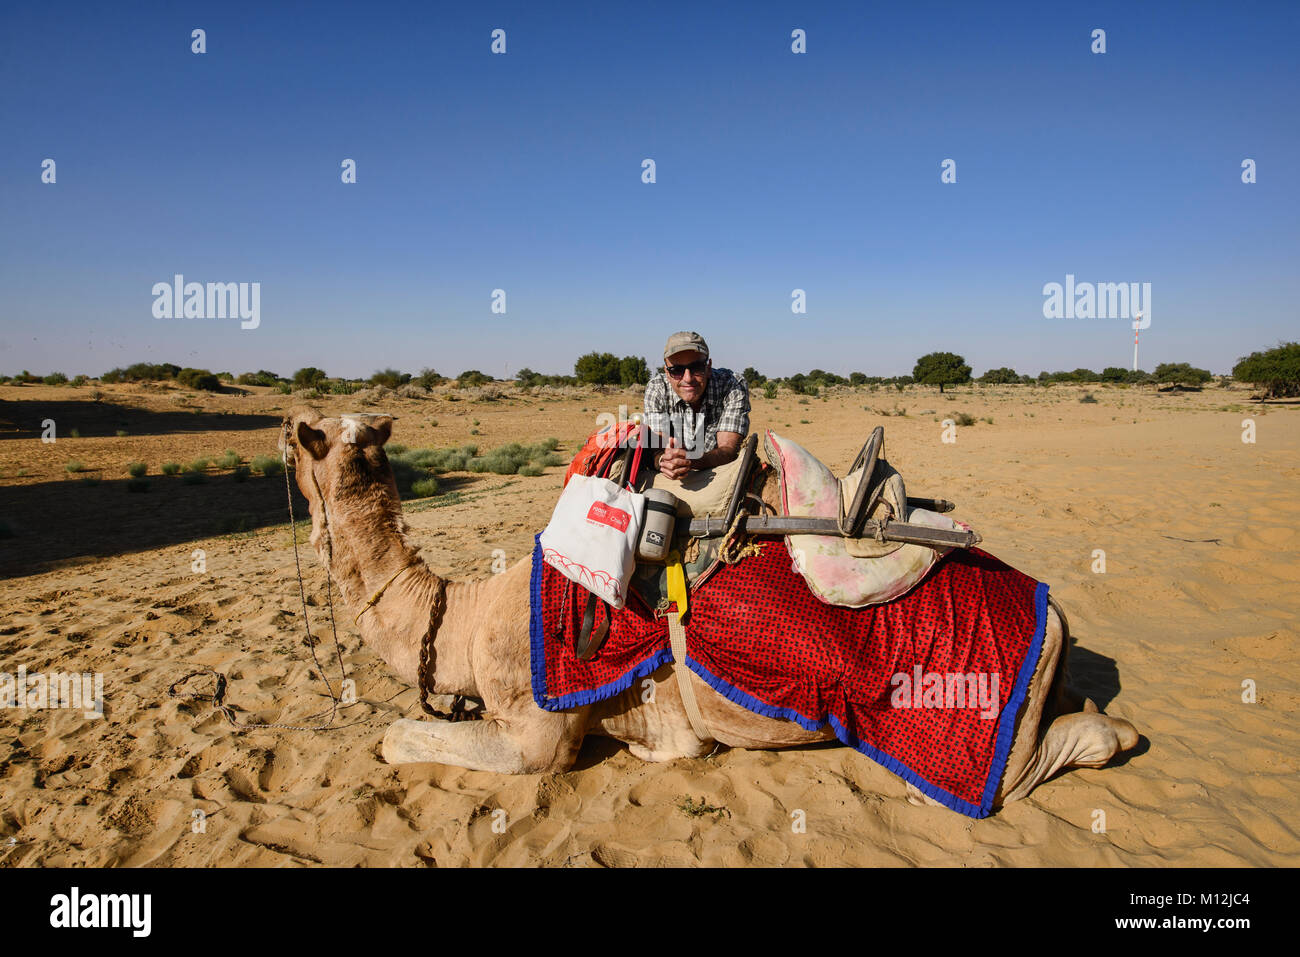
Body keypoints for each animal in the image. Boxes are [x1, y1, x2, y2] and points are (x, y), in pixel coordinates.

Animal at [279, 408, 1133, 811]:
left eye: (302, 436)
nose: (283, 430)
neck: (465, 612)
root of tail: (1055, 615)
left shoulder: (537, 728)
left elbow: (395, 737)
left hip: (969, 732)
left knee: (1062, 751)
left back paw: (1111, 731)